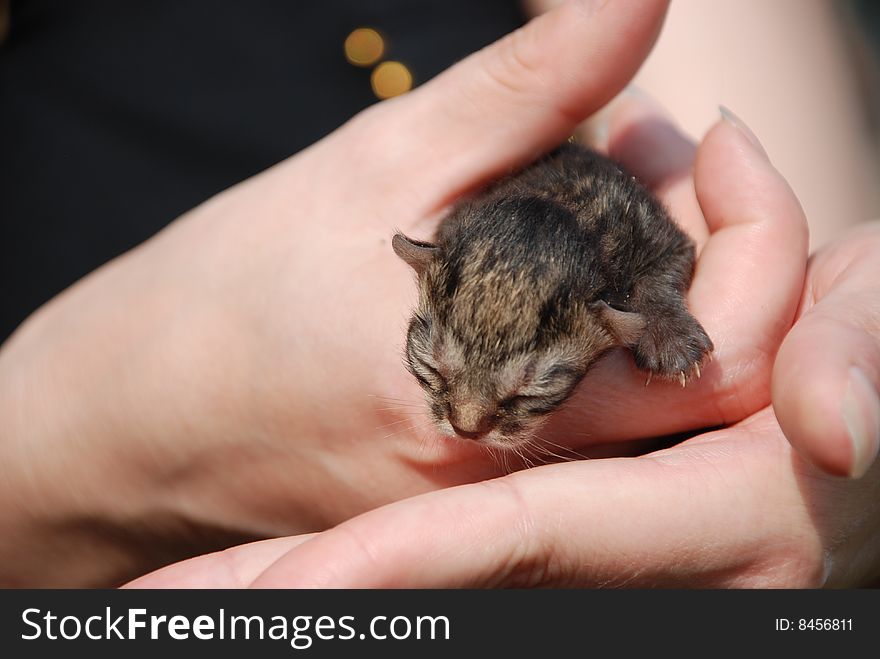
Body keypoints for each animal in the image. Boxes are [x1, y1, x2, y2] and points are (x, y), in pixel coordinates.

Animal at [396, 142, 712, 446]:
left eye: (528, 395)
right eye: (433, 369)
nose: (465, 431)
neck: (565, 204)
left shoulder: (654, 233)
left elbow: (660, 275)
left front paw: (670, 336)